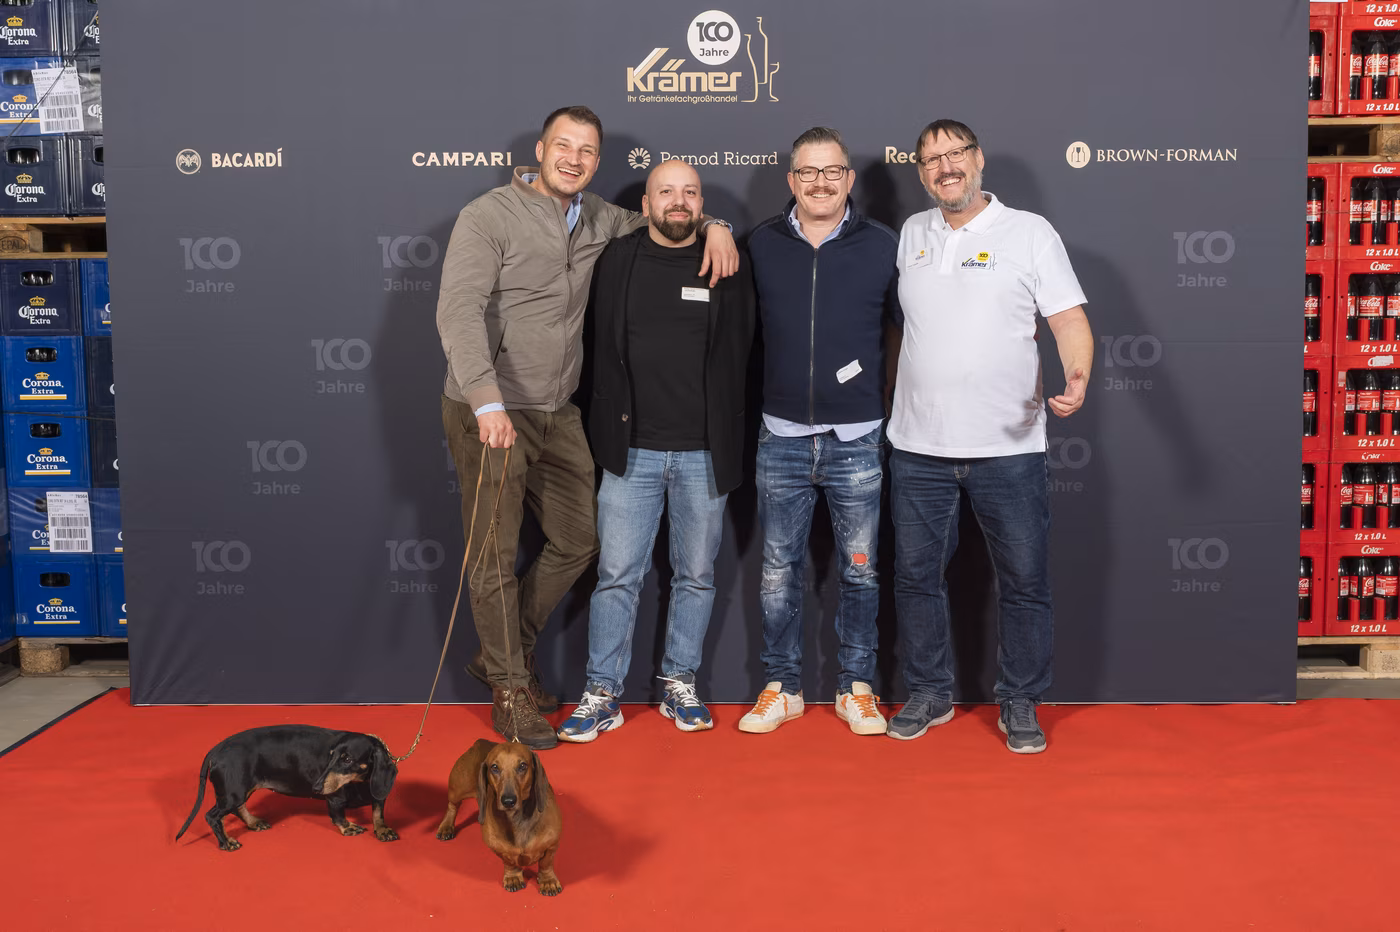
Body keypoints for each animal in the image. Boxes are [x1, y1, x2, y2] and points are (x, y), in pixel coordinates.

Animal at [175, 725, 399, 851]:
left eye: (347, 759)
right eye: (331, 756)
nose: (316, 787)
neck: (360, 781)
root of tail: (215, 750)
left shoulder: (379, 794)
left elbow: (378, 813)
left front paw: (382, 830)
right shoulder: (335, 799)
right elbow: (339, 817)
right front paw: (349, 827)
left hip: (239, 791)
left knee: (236, 809)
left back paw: (253, 822)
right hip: (232, 793)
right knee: (212, 816)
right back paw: (226, 843)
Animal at [436, 738, 562, 895]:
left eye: (522, 766)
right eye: (494, 768)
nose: (508, 801)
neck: (516, 819)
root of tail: (480, 742)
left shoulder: (552, 845)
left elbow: (546, 863)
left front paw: (548, 881)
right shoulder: (498, 848)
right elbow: (509, 862)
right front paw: (513, 877)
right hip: (458, 789)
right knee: (452, 806)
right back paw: (446, 827)